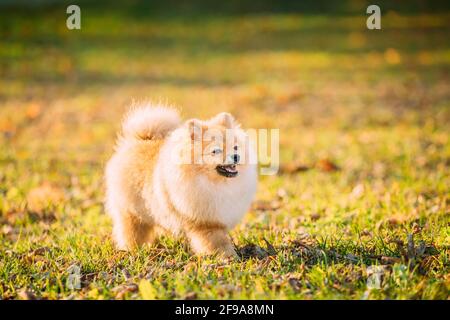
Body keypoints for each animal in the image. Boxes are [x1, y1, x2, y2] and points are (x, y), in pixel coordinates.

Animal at [104, 102, 256, 258]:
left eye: (236, 147)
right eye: (216, 151)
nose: (236, 156)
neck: (216, 184)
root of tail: (138, 140)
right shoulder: (206, 223)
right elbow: (218, 243)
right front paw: (229, 257)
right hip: (132, 213)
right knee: (132, 232)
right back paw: (132, 251)